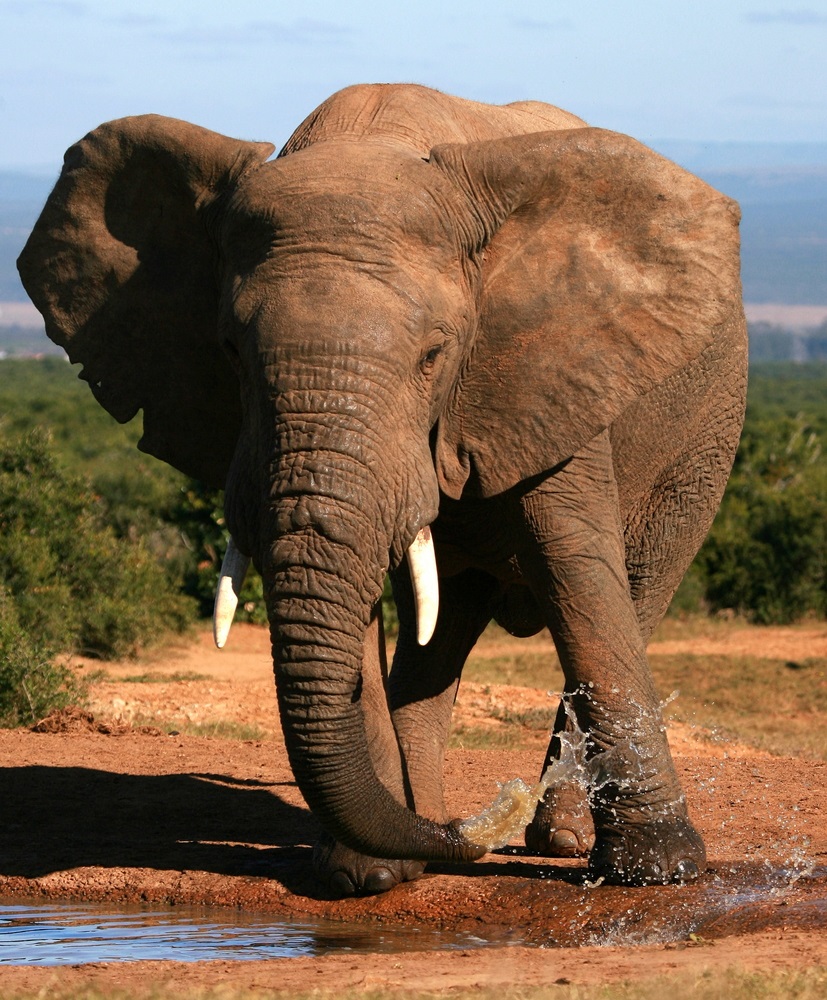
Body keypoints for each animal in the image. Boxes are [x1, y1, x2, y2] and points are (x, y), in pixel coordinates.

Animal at [16, 84, 748, 900]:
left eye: (435, 355)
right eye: (230, 352)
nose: (479, 829)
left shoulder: (554, 372)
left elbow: (578, 577)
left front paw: (660, 874)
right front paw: (363, 875)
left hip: (702, 437)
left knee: (634, 591)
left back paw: (554, 840)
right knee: (442, 628)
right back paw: (424, 829)